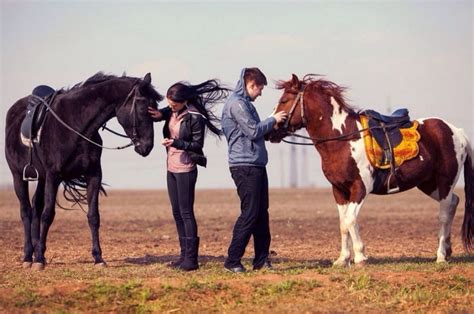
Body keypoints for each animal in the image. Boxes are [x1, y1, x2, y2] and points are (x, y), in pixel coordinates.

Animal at [4, 72, 165, 270]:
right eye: (143, 109)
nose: (147, 147)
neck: (76, 125)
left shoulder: (93, 175)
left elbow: (93, 216)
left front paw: (98, 258)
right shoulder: (53, 176)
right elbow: (48, 215)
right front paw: (39, 260)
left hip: (41, 178)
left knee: (35, 208)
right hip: (18, 176)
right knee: (26, 211)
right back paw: (29, 257)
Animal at [268, 75, 472, 266]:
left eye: (284, 100)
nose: (271, 131)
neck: (342, 139)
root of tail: (458, 131)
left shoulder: (360, 188)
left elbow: (350, 220)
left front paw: (360, 257)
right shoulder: (339, 190)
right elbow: (343, 223)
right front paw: (343, 259)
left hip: (444, 182)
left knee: (444, 214)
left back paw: (441, 255)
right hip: (428, 184)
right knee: (454, 202)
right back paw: (448, 249)